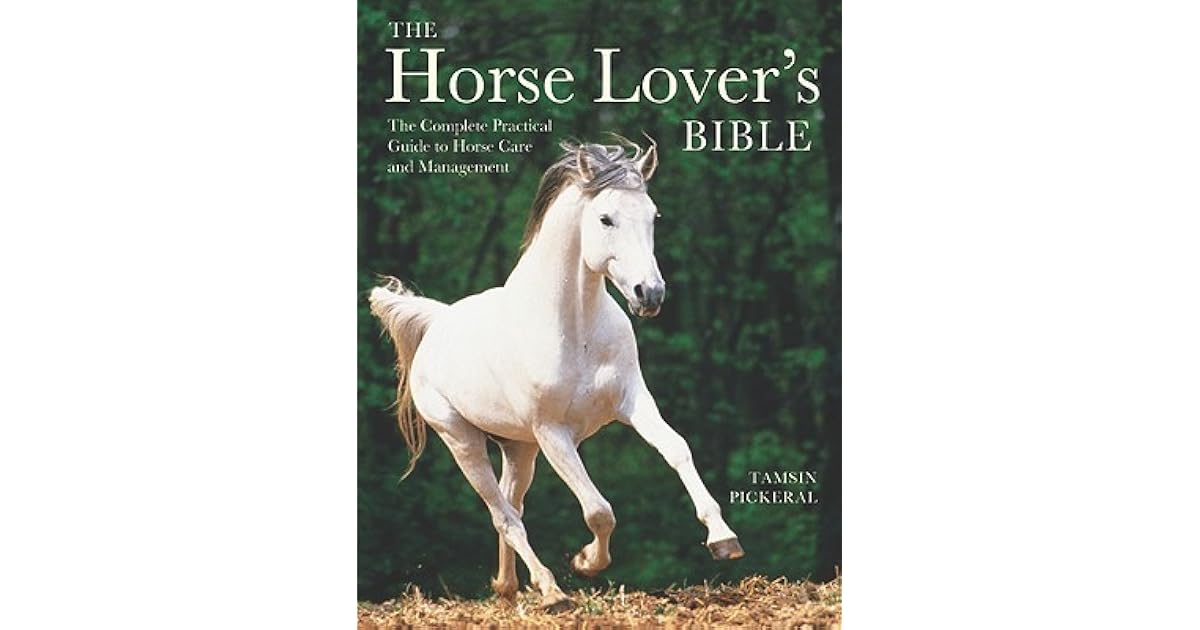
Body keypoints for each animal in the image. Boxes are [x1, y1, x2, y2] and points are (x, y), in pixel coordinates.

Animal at [369, 137, 743, 611]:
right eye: (605, 218)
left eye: (653, 215)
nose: (650, 294)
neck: (574, 327)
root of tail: (437, 323)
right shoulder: (553, 433)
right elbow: (599, 510)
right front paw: (585, 562)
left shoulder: (633, 402)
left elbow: (677, 449)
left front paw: (723, 539)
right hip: (463, 441)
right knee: (504, 514)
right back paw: (550, 591)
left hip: (519, 448)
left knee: (512, 505)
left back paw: (508, 586)